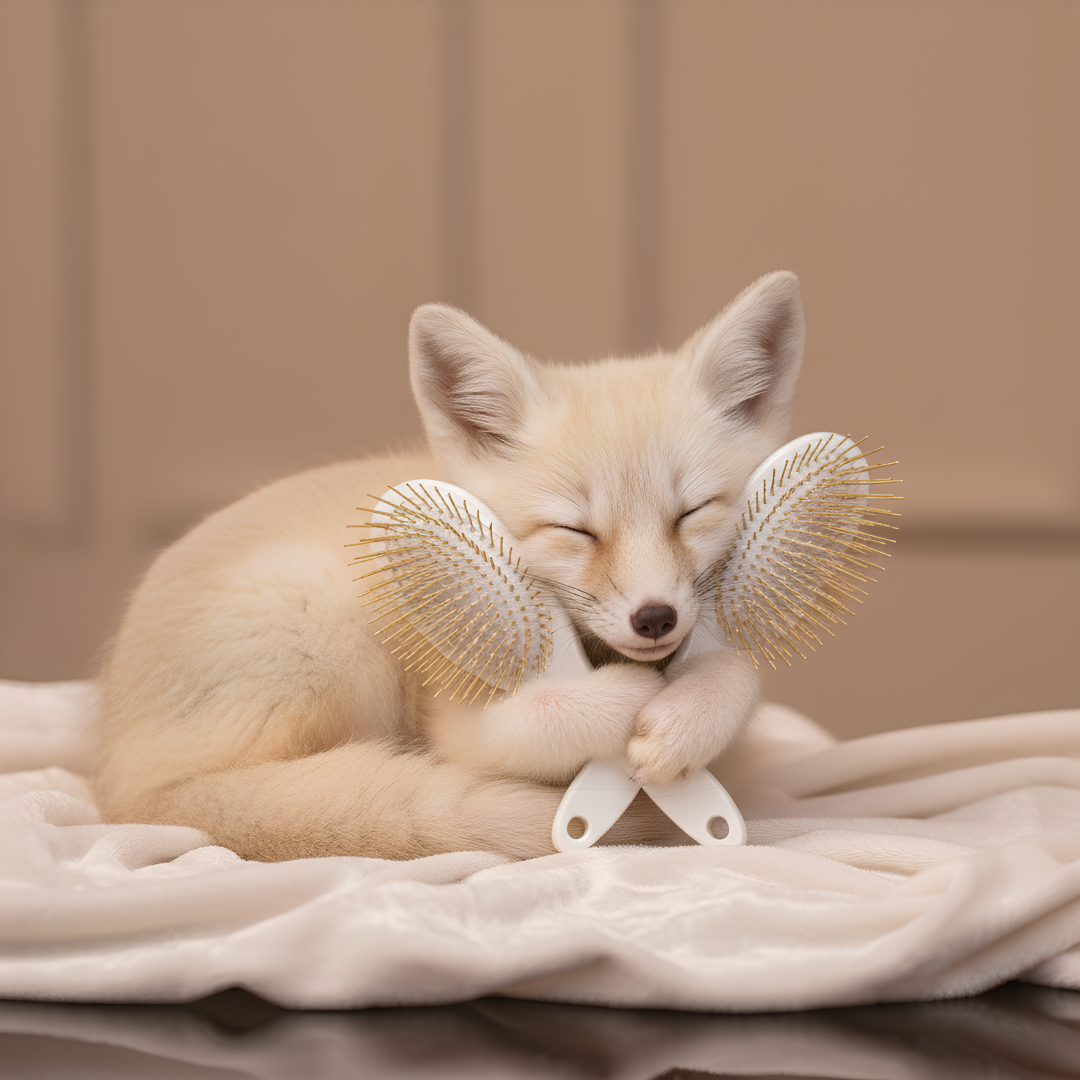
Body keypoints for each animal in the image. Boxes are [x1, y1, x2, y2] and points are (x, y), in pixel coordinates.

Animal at [93, 270, 805, 861]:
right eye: (576, 530)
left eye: (692, 512)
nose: (655, 619)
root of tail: (118, 787)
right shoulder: (460, 726)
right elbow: (541, 717)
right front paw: (628, 700)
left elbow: (735, 673)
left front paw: (687, 719)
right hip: (334, 625)